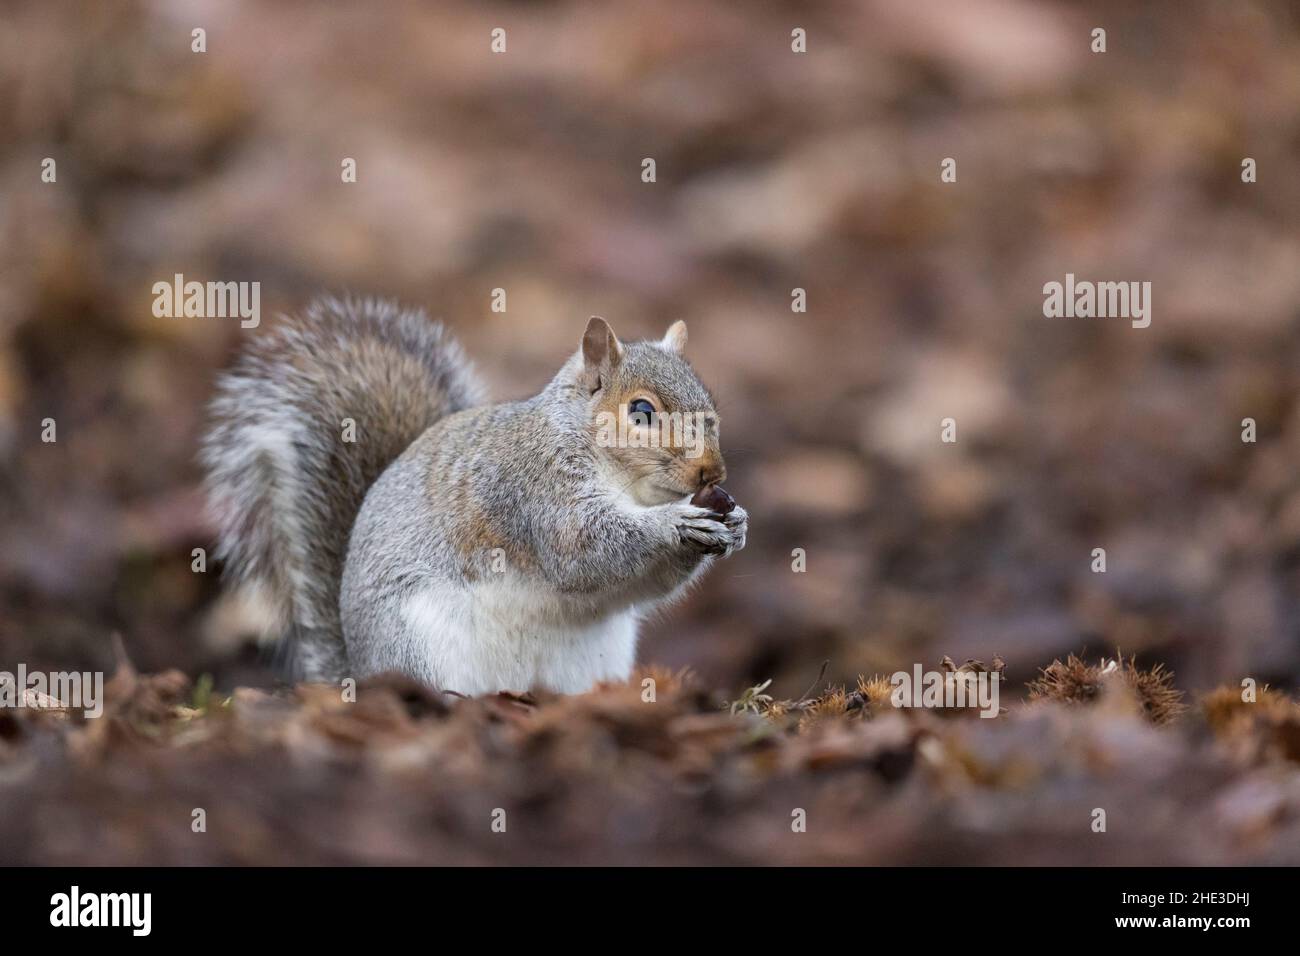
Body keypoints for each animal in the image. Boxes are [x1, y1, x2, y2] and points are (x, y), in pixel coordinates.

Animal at [202, 299, 754, 697]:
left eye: (709, 404)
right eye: (641, 412)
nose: (713, 471)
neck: (627, 485)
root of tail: (359, 672)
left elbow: (638, 584)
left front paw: (735, 523)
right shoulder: (533, 489)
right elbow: (582, 551)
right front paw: (677, 523)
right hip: (419, 643)